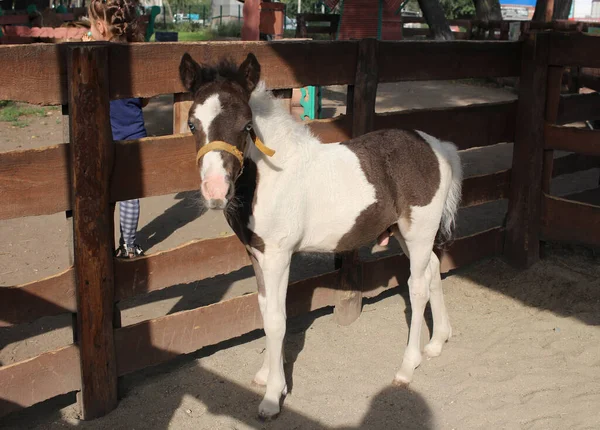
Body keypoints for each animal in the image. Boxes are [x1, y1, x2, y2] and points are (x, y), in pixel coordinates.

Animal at [178, 52, 464, 418]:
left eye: (246, 125)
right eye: (192, 124)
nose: (215, 192)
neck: (273, 177)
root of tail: (437, 145)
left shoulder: (278, 256)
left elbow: (277, 319)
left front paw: (272, 397)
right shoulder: (256, 254)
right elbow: (264, 309)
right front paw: (267, 375)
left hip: (420, 233)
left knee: (417, 288)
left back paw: (406, 367)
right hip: (406, 233)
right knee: (433, 272)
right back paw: (437, 342)